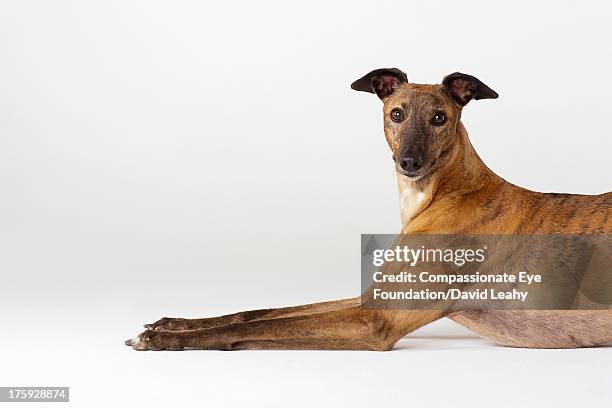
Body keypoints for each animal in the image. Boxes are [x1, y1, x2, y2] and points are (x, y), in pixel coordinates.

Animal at [125, 68, 612, 350]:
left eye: (439, 118)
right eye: (396, 113)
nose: (409, 162)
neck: (444, 193)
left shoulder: (377, 319)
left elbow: (249, 330)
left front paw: (163, 339)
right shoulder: (373, 296)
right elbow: (256, 314)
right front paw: (172, 323)